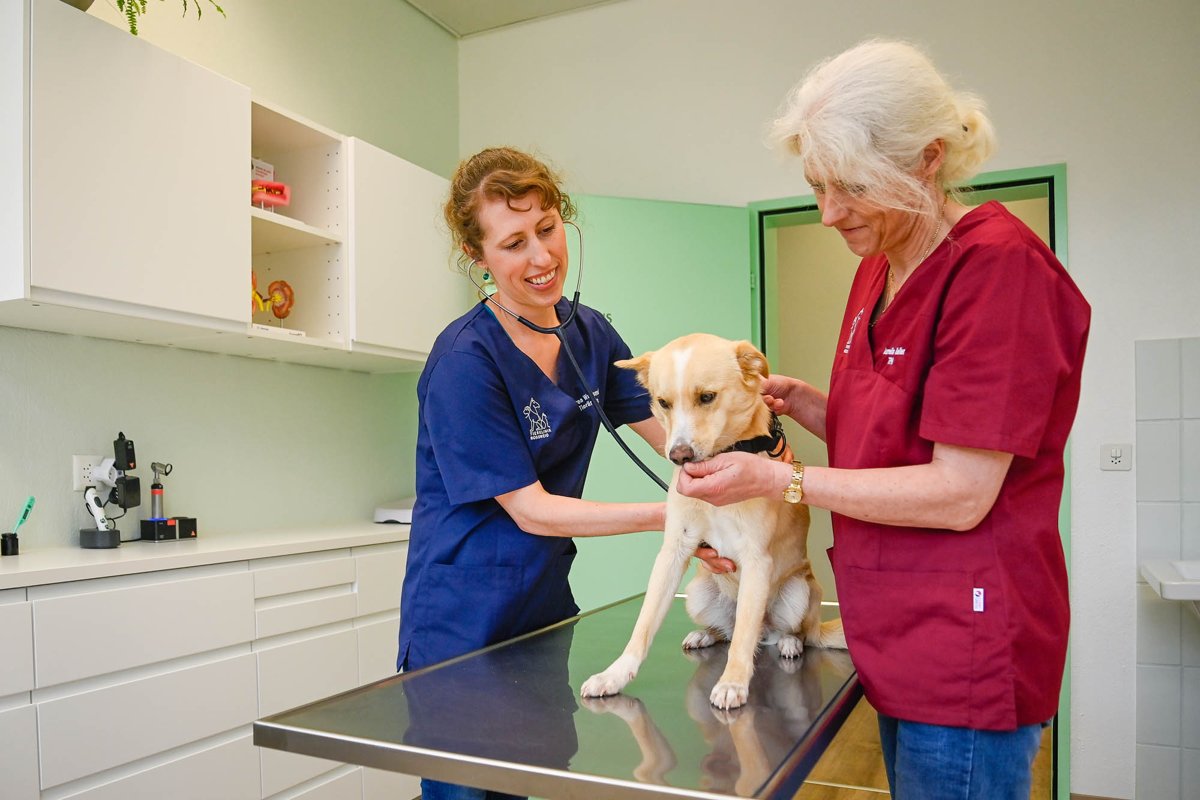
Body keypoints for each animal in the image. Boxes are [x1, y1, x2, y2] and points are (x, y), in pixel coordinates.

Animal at [578, 335, 844, 710]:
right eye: (663, 403)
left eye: (707, 397)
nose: (679, 455)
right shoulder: (672, 553)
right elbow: (643, 625)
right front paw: (614, 674)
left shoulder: (757, 560)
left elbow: (744, 638)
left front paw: (733, 682)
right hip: (697, 592)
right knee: (728, 632)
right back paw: (704, 635)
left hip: (799, 592)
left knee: (779, 633)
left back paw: (789, 642)